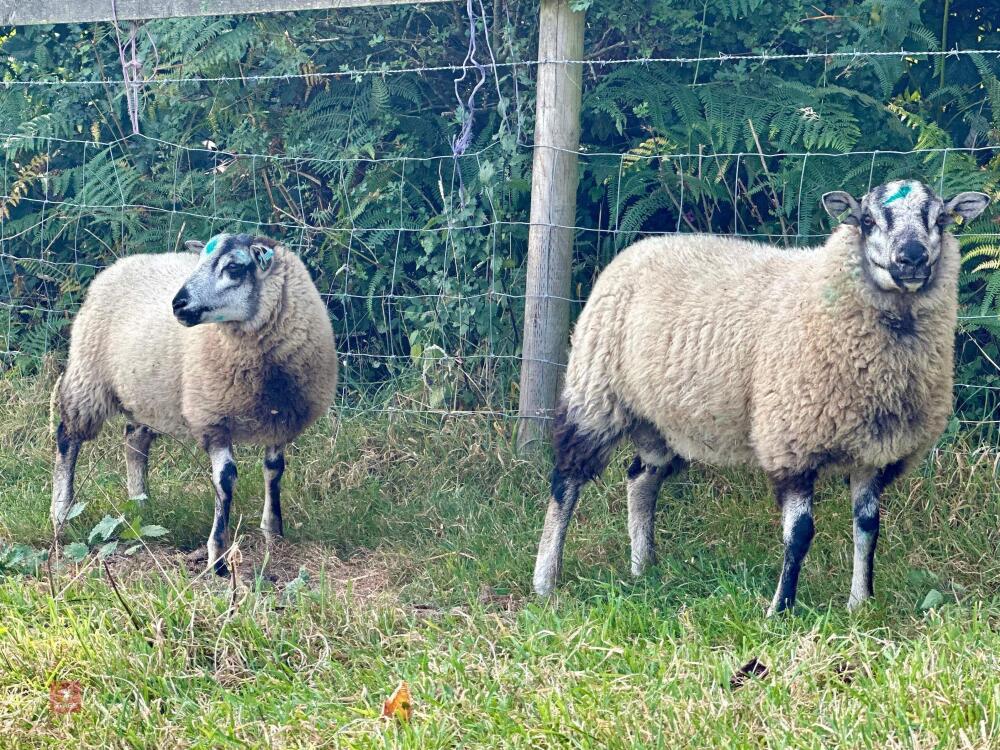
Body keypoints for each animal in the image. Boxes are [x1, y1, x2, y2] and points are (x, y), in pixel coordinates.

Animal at [51, 233, 339, 575]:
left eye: (234, 268)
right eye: (200, 261)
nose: (178, 303)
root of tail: (123, 262)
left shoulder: (280, 420)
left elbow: (274, 471)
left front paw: (273, 533)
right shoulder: (213, 417)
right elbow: (225, 480)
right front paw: (218, 558)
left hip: (147, 392)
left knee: (135, 441)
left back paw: (141, 504)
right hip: (88, 377)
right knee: (68, 437)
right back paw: (61, 513)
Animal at [532, 180, 990, 614]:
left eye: (941, 220)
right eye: (867, 221)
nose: (911, 258)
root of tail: (642, 245)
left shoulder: (875, 453)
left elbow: (868, 528)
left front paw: (861, 603)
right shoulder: (791, 442)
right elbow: (800, 533)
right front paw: (780, 609)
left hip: (661, 416)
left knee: (641, 478)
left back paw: (644, 570)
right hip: (595, 392)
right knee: (566, 481)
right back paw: (545, 581)